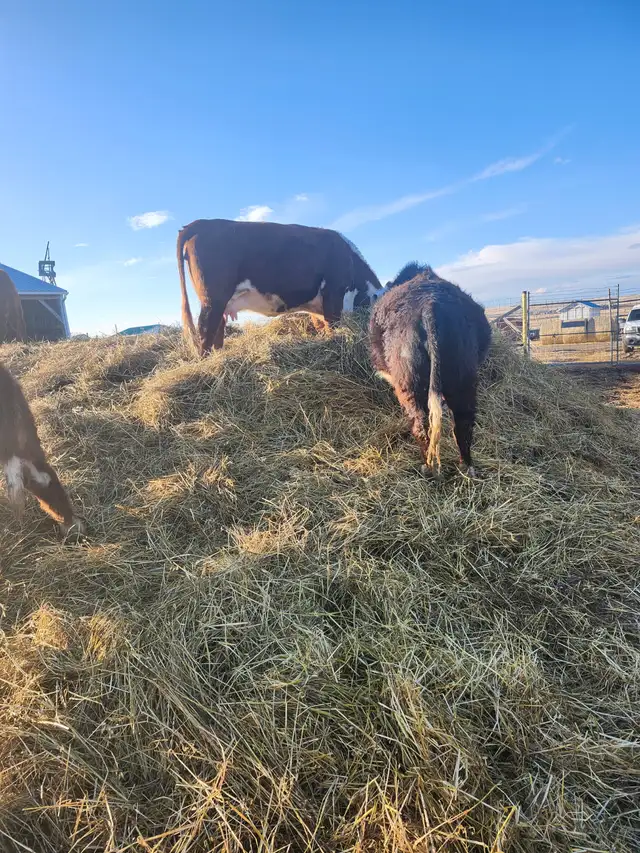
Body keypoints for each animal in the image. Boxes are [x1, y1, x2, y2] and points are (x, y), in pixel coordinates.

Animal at [177, 219, 383, 355]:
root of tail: (205, 222)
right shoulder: (334, 294)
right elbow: (333, 325)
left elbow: (322, 326)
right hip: (214, 299)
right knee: (205, 330)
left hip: (220, 304)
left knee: (217, 330)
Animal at [370, 263, 491, 477]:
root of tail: (429, 305)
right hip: (464, 379)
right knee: (463, 424)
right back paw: (466, 467)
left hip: (409, 385)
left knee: (420, 425)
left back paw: (427, 467)